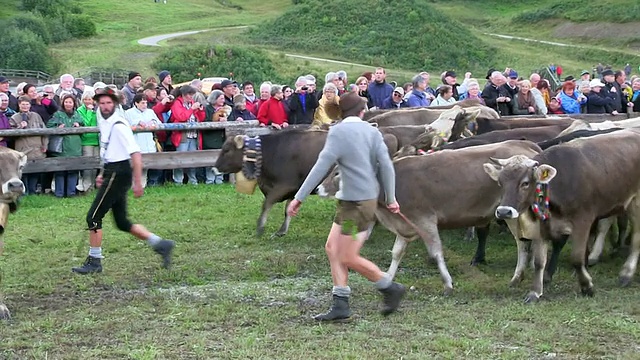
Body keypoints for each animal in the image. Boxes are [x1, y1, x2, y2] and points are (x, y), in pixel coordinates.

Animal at [318, 139, 544, 294]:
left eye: (337, 173)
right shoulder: (405, 223)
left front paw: (448, 284)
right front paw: (388, 279)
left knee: (522, 244)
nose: (319, 188)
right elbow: (396, 253)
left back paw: (516, 277)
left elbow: (436, 252)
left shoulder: (424, 220)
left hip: (511, 213)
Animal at [482, 129, 640, 304]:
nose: (504, 212)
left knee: (636, 238)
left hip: (635, 202)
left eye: (525, 183)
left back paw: (626, 274)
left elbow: (577, 258)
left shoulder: (583, 221)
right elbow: (539, 262)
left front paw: (587, 286)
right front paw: (535, 292)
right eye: (500, 183)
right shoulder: (542, 226)